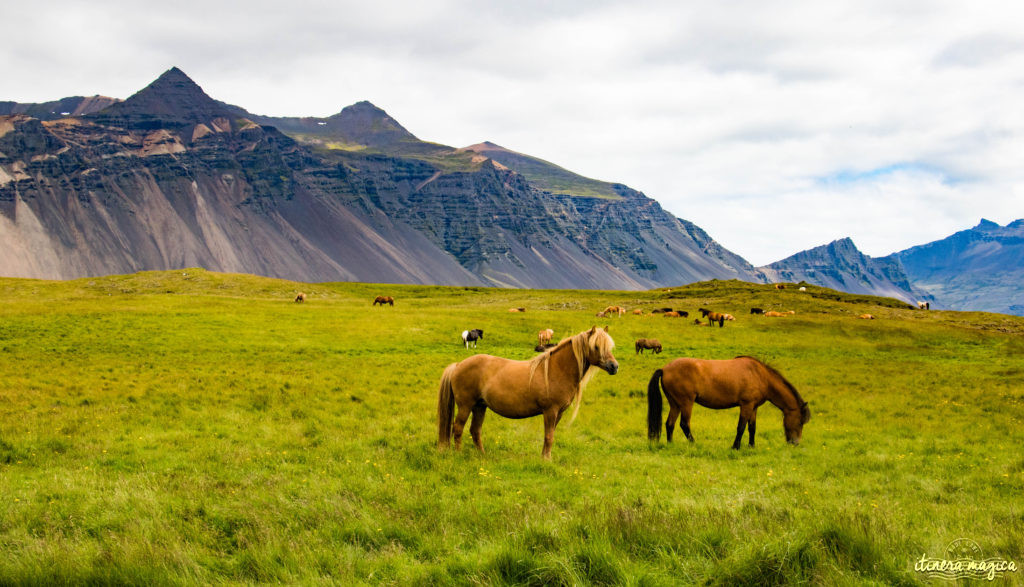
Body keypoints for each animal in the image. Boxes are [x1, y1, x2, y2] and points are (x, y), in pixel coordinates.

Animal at [438, 325, 618, 456]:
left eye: (609, 347)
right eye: (596, 346)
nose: (614, 366)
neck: (555, 370)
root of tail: (458, 365)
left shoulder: (558, 413)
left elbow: (550, 436)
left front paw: (544, 458)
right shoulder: (550, 412)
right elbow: (549, 437)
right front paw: (546, 460)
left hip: (480, 406)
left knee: (475, 430)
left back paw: (482, 455)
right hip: (465, 406)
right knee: (458, 428)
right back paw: (459, 454)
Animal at [647, 356, 806, 448]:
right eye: (800, 422)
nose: (796, 443)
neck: (760, 376)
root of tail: (665, 369)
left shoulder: (753, 407)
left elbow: (752, 428)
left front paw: (751, 446)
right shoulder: (746, 405)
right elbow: (741, 427)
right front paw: (735, 447)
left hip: (675, 404)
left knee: (670, 424)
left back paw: (670, 444)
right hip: (686, 403)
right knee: (684, 424)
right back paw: (694, 444)